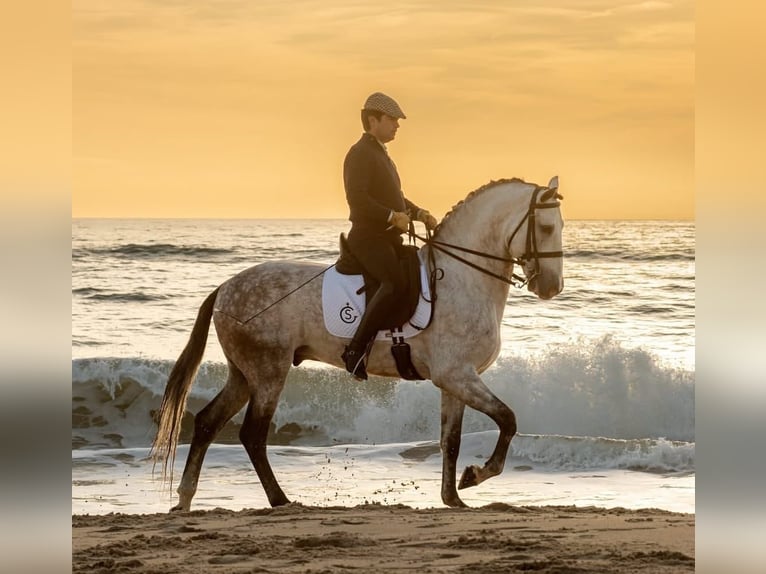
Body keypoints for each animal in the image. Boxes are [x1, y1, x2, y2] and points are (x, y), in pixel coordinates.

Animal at [151, 176, 564, 510]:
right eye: (545, 227)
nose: (552, 287)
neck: (462, 278)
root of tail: (224, 288)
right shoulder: (457, 376)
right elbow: (507, 419)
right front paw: (477, 474)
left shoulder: (456, 380)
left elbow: (451, 439)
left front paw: (454, 496)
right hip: (268, 372)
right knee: (252, 434)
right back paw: (280, 500)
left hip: (243, 374)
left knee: (207, 422)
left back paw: (185, 498)